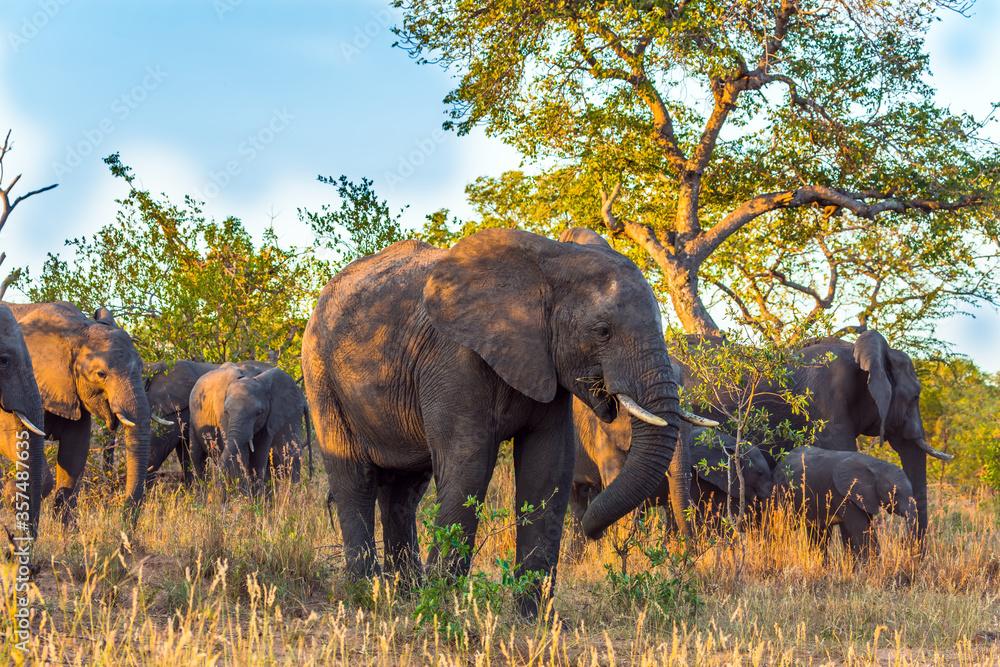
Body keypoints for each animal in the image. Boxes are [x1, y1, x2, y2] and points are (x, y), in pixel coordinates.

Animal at [2, 301, 152, 525]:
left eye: (142, 369)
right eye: (101, 374)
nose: (124, 527)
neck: (77, 330)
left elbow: (74, 456)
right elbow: (12, 439)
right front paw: (13, 494)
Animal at [188, 362, 308, 494]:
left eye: (259, 413)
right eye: (226, 412)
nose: (215, 491)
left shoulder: (270, 417)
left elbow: (259, 455)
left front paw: (255, 498)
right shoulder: (222, 417)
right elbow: (240, 454)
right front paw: (244, 498)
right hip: (193, 419)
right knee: (197, 458)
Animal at [301, 227, 715, 616]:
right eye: (602, 331)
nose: (593, 533)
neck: (551, 262)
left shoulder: (546, 364)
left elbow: (547, 470)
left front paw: (536, 619)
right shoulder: (454, 358)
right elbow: (468, 467)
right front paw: (442, 610)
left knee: (404, 489)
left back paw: (404, 594)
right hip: (320, 373)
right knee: (354, 478)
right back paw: (365, 594)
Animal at [776, 446, 918, 562]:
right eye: (895, 493)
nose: (902, 541)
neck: (875, 465)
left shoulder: (865, 497)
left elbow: (869, 528)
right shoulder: (844, 494)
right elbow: (860, 528)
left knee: (817, 534)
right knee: (782, 526)